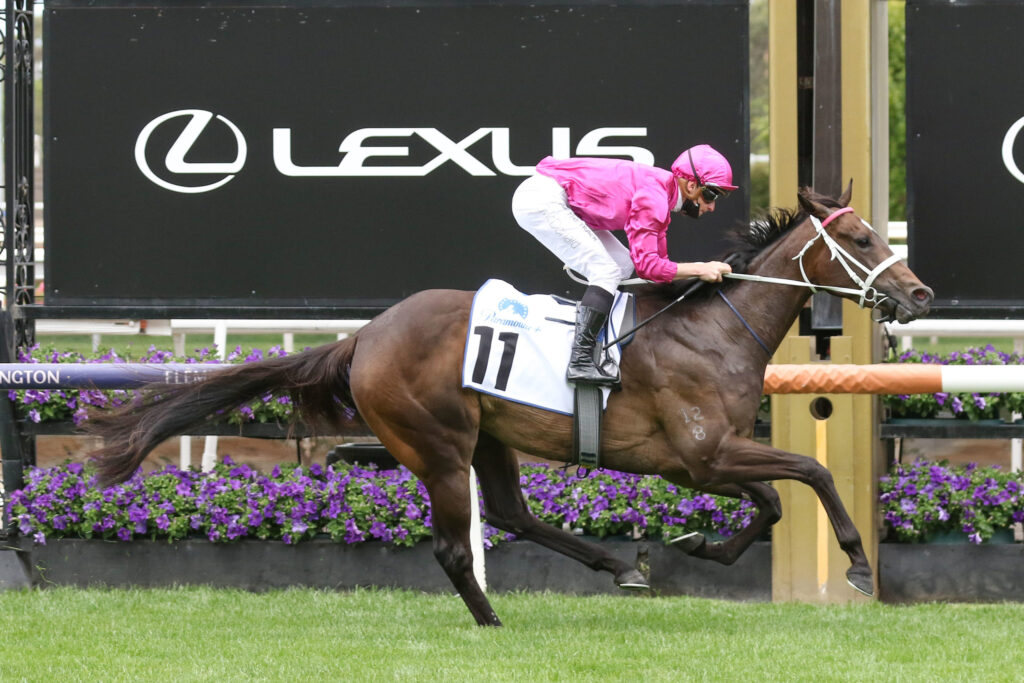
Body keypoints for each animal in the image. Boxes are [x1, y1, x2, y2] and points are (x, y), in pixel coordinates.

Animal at [88, 183, 933, 626]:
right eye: (861, 237)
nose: (921, 293)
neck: (711, 327)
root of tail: (364, 336)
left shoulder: (703, 460)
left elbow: (772, 501)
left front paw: (698, 545)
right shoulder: (700, 454)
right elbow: (807, 477)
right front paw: (857, 560)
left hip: (488, 433)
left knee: (513, 513)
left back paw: (614, 566)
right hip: (437, 444)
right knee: (457, 544)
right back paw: (492, 619)